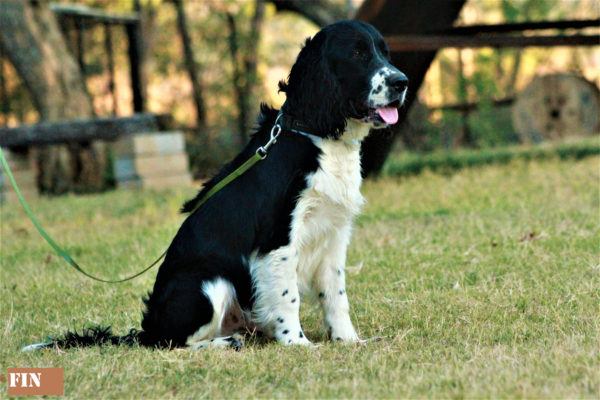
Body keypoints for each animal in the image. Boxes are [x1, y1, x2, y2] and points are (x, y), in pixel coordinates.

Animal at [23, 20, 408, 352]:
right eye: (357, 54)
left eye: (385, 53)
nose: (402, 82)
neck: (315, 134)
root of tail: (147, 328)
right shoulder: (278, 238)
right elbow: (288, 297)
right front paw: (298, 344)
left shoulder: (334, 233)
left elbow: (336, 296)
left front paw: (349, 341)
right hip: (209, 281)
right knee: (171, 342)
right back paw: (224, 343)